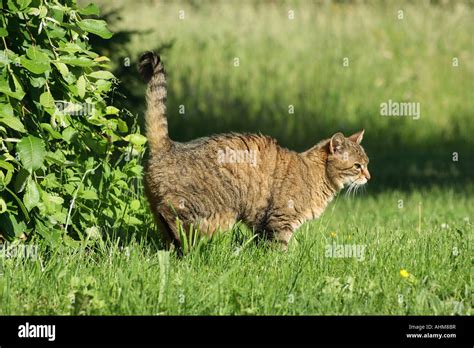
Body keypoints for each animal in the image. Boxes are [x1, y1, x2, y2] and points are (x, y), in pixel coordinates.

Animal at [137, 51, 370, 250]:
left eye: (367, 164)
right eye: (357, 166)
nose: (369, 176)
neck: (317, 173)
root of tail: (169, 144)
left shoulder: (262, 223)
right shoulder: (280, 220)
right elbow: (279, 249)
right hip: (198, 207)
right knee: (170, 216)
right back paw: (185, 248)